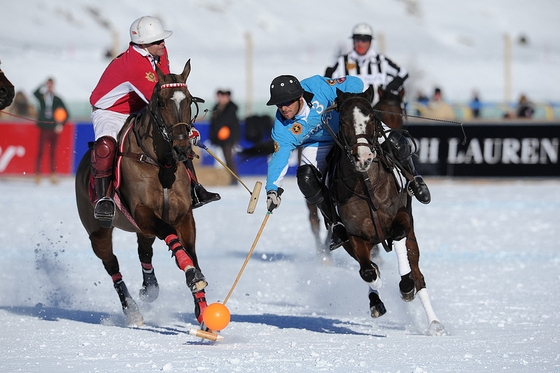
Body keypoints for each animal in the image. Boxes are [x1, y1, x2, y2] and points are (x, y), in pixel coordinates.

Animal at [76, 58, 210, 326]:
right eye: (161, 101)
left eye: (189, 100)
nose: (182, 148)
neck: (162, 164)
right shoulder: (143, 212)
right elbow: (172, 238)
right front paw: (191, 274)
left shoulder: (184, 216)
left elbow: (190, 250)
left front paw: (202, 310)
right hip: (98, 232)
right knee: (112, 265)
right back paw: (132, 311)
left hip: (140, 229)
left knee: (144, 250)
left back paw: (150, 287)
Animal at [328, 86, 446, 334]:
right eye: (342, 120)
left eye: (372, 117)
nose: (363, 158)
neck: (366, 185)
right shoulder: (354, 236)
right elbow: (368, 271)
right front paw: (377, 287)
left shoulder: (401, 218)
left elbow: (399, 240)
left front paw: (406, 286)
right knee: (368, 265)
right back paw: (376, 300)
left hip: (412, 237)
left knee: (418, 274)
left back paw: (434, 323)